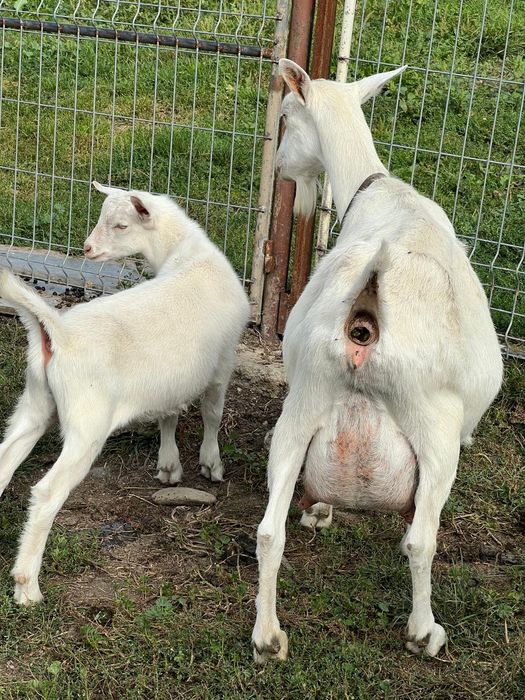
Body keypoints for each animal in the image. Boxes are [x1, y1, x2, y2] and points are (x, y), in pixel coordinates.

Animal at [0, 182, 250, 605]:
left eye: (119, 224)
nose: (86, 249)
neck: (189, 255)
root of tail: (57, 333)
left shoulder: (172, 378)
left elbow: (169, 413)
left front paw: (169, 466)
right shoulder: (223, 361)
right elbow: (213, 413)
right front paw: (211, 464)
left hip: (35, 400)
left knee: (5, 455)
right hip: (86, 423)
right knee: (47, 493)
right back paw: (26, 587)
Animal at [252, 60, 503, 662]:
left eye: (287, 115)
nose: (281, 166)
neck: (378, 192)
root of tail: (368, 305)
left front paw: (320, 513)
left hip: (303, 404)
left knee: (270, 530)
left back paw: (268, 637)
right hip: (433, 426)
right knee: (420, 539)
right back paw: (423, 632)